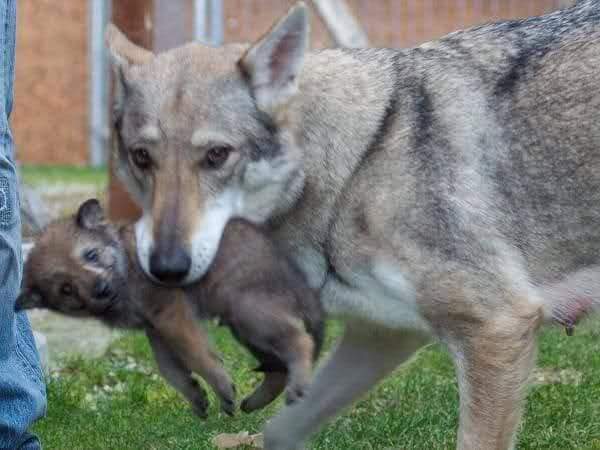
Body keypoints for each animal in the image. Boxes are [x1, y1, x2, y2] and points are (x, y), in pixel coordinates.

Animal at [16, 200, 324, 418]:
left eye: (90, 255)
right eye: (65, 289)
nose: (101, 290)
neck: (126, 266)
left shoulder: (172, 316)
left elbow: (198, 356)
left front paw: (221, 387)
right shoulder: (156, 330)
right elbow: (170, 370)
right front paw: (196, 396)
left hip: (250, 313)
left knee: (300, 341)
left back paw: (297, 387)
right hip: (247, 325)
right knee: (278, 366)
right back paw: (257, 401)